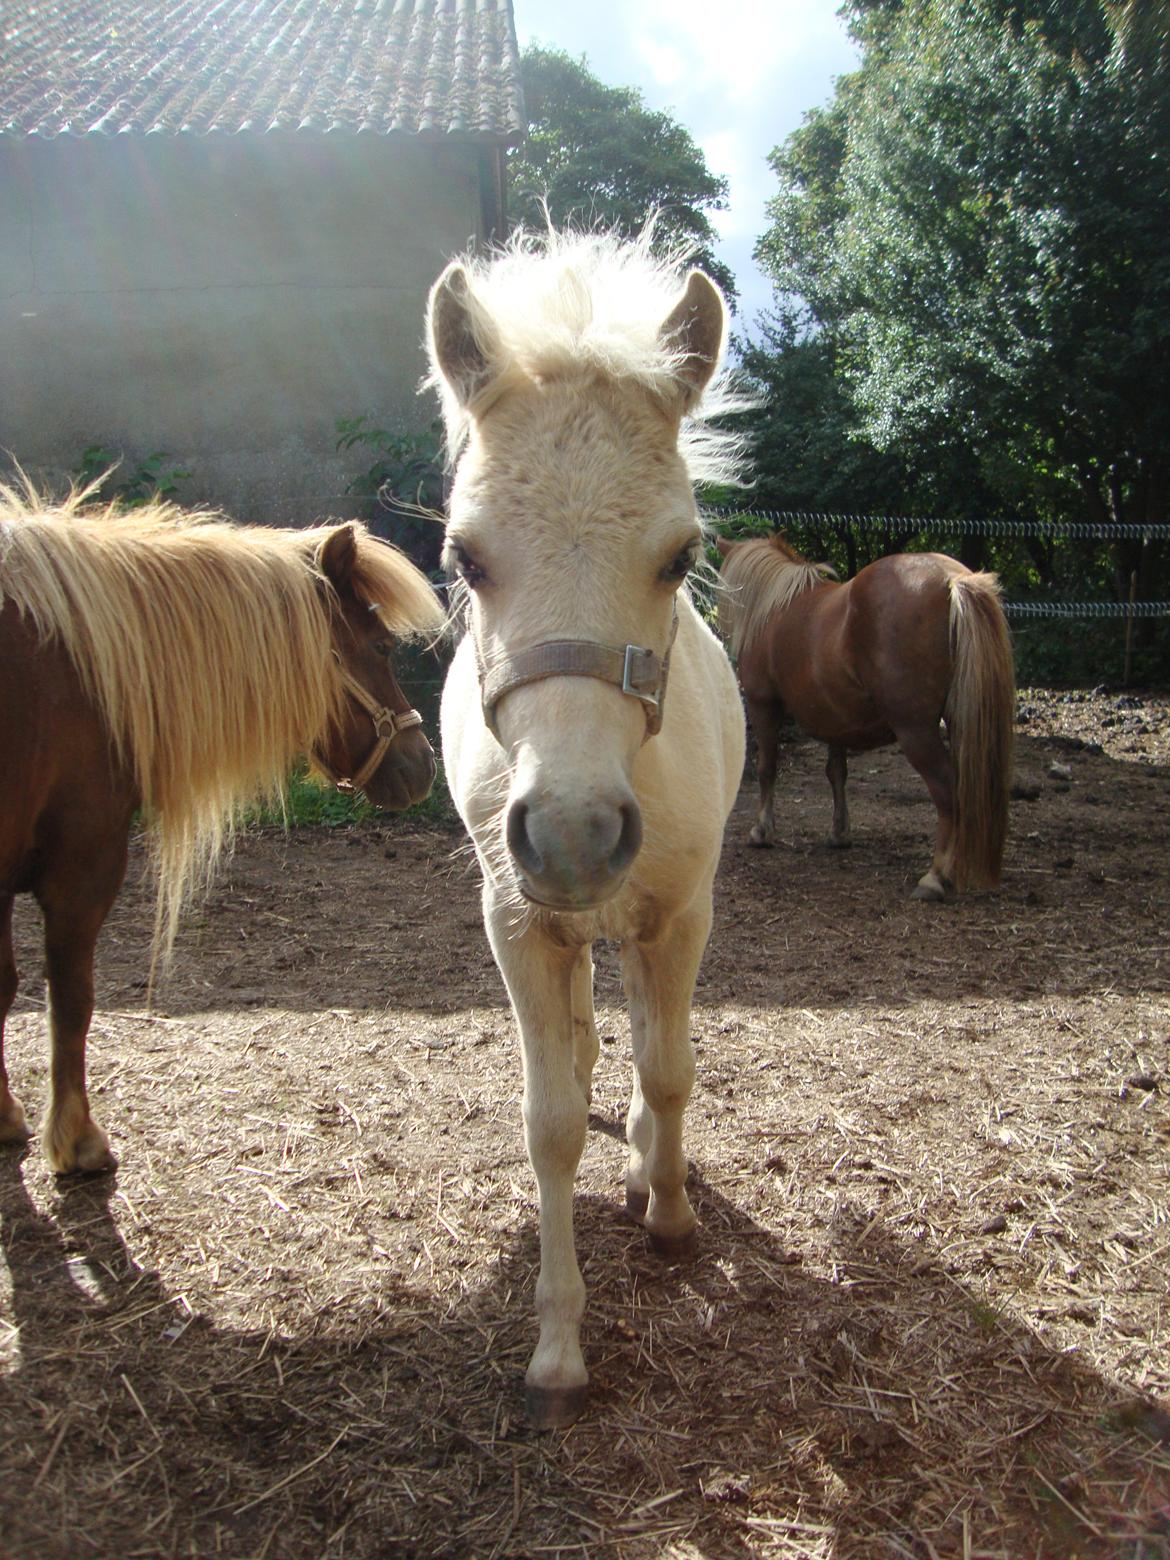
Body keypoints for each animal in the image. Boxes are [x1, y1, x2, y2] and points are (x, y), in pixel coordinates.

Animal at [0, 484, 443, 1175]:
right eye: (380, 647)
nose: (423, 766)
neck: (80, 674)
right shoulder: (81, 868)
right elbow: (70, 998)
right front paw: (77, 1139)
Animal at [427, 229, 747, 1428]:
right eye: (465, 558)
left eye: (680, 555)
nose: (570, 832)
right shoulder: (517, 923)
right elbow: (552, 1118)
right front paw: (559, 1348)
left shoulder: (683, 912)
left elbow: (672, 1067)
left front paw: (669, 1214)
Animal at [716, 533, 1016, 899]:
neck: (774, 610)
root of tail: (953, 580)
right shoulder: (833, 719)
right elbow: (836, 773)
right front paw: (839, 833)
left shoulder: (764, 705)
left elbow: (767, 768)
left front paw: (762, 831)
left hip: (916, 731)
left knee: (948, 791)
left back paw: (935, 877)